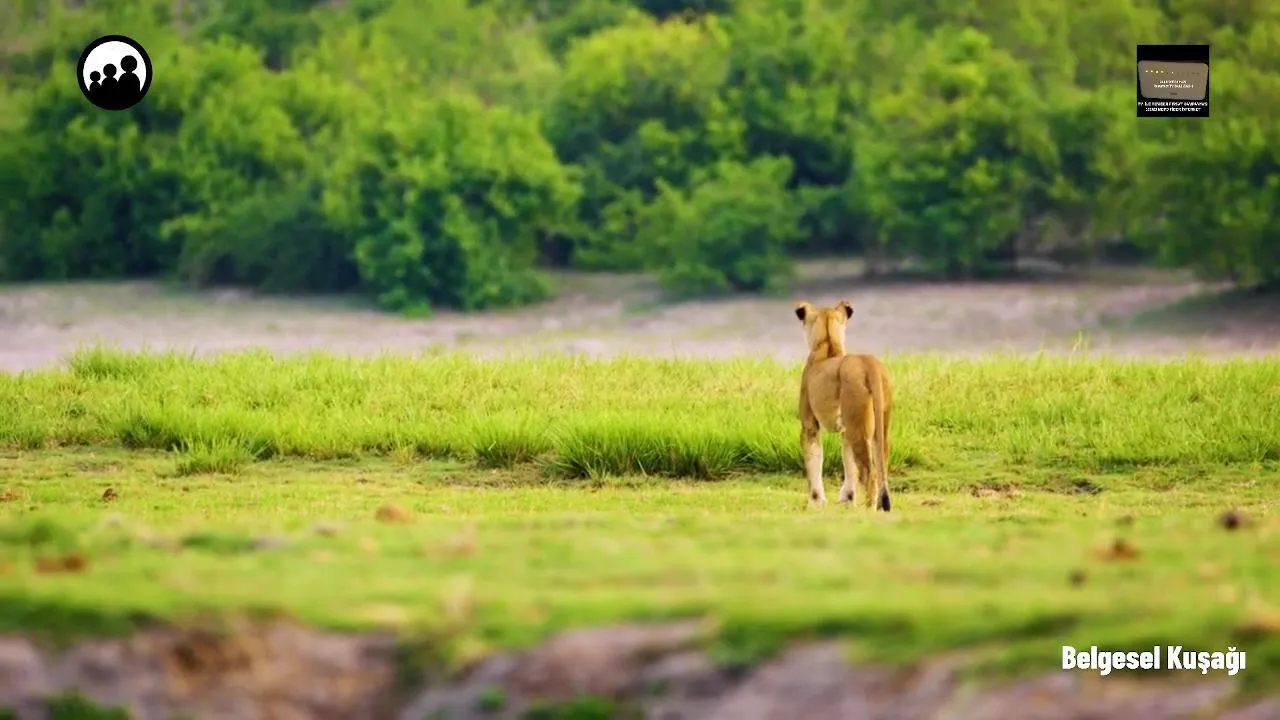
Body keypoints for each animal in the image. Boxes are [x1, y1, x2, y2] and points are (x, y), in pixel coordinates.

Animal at [794, 300, 893, 510]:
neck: (827, 344)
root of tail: (868, 362)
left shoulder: (809, 425)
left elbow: (814, 462)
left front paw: (816, 502)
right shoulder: (845, 430)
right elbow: (849, 464)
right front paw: (847, 499)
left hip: (859, 426)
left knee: (870, 472)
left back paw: (868, 509)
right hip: (881, 427)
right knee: (881, 466)